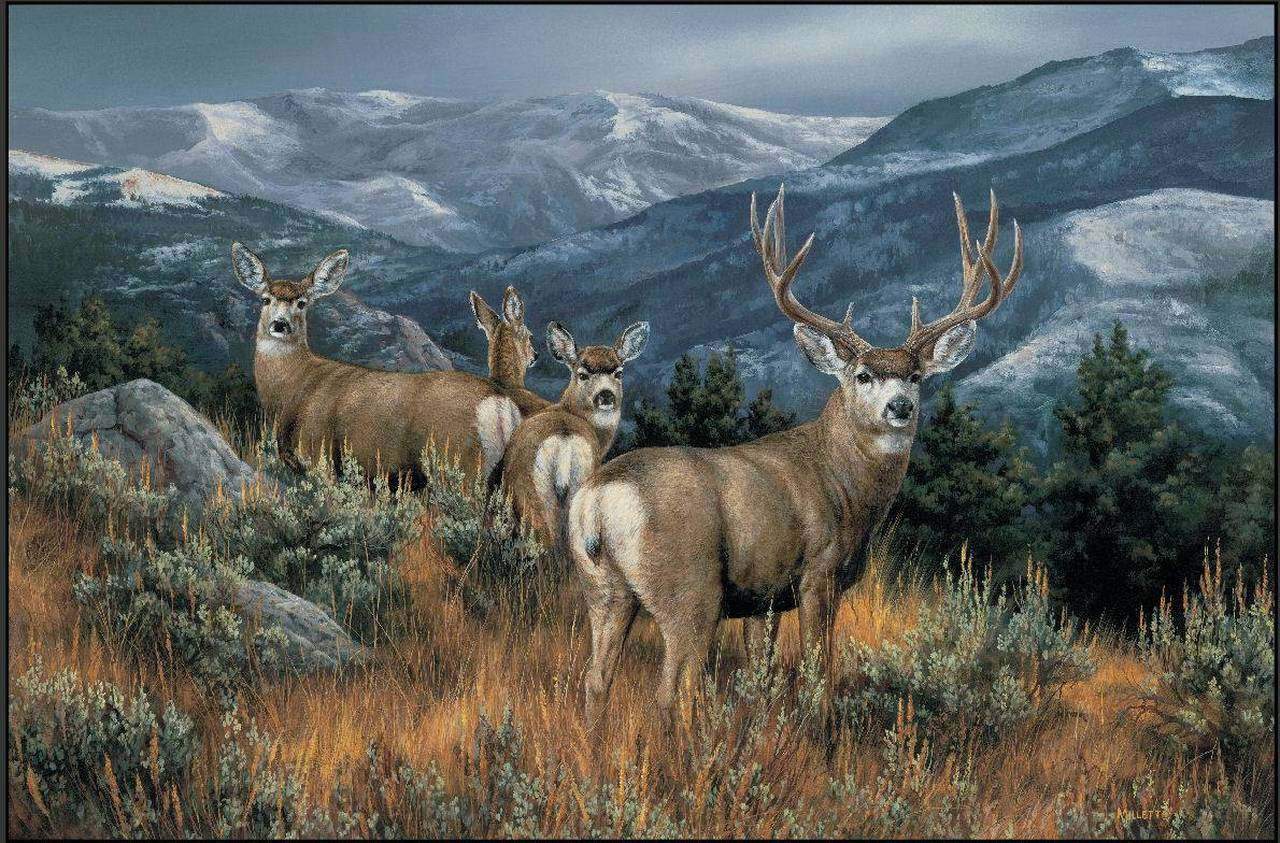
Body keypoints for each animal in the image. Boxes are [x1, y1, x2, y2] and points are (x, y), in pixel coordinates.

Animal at [232, 243, 542, 484]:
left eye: (302, 302)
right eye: (265, 299)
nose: (279, 324)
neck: (294, 386)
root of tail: (500, 405)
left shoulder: (320, 456)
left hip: (461, 464)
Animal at [567, 185, 1023, 727]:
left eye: (915, 375)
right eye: (863, 375)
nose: (900, 406)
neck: (844, 486)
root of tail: (597, 500)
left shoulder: (764, 598)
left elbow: (760, 674)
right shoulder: (819, 573)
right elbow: (817, 672)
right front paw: (820, 731)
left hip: (602, 588)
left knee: (597, 680)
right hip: (688, 586)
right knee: (670, 690)